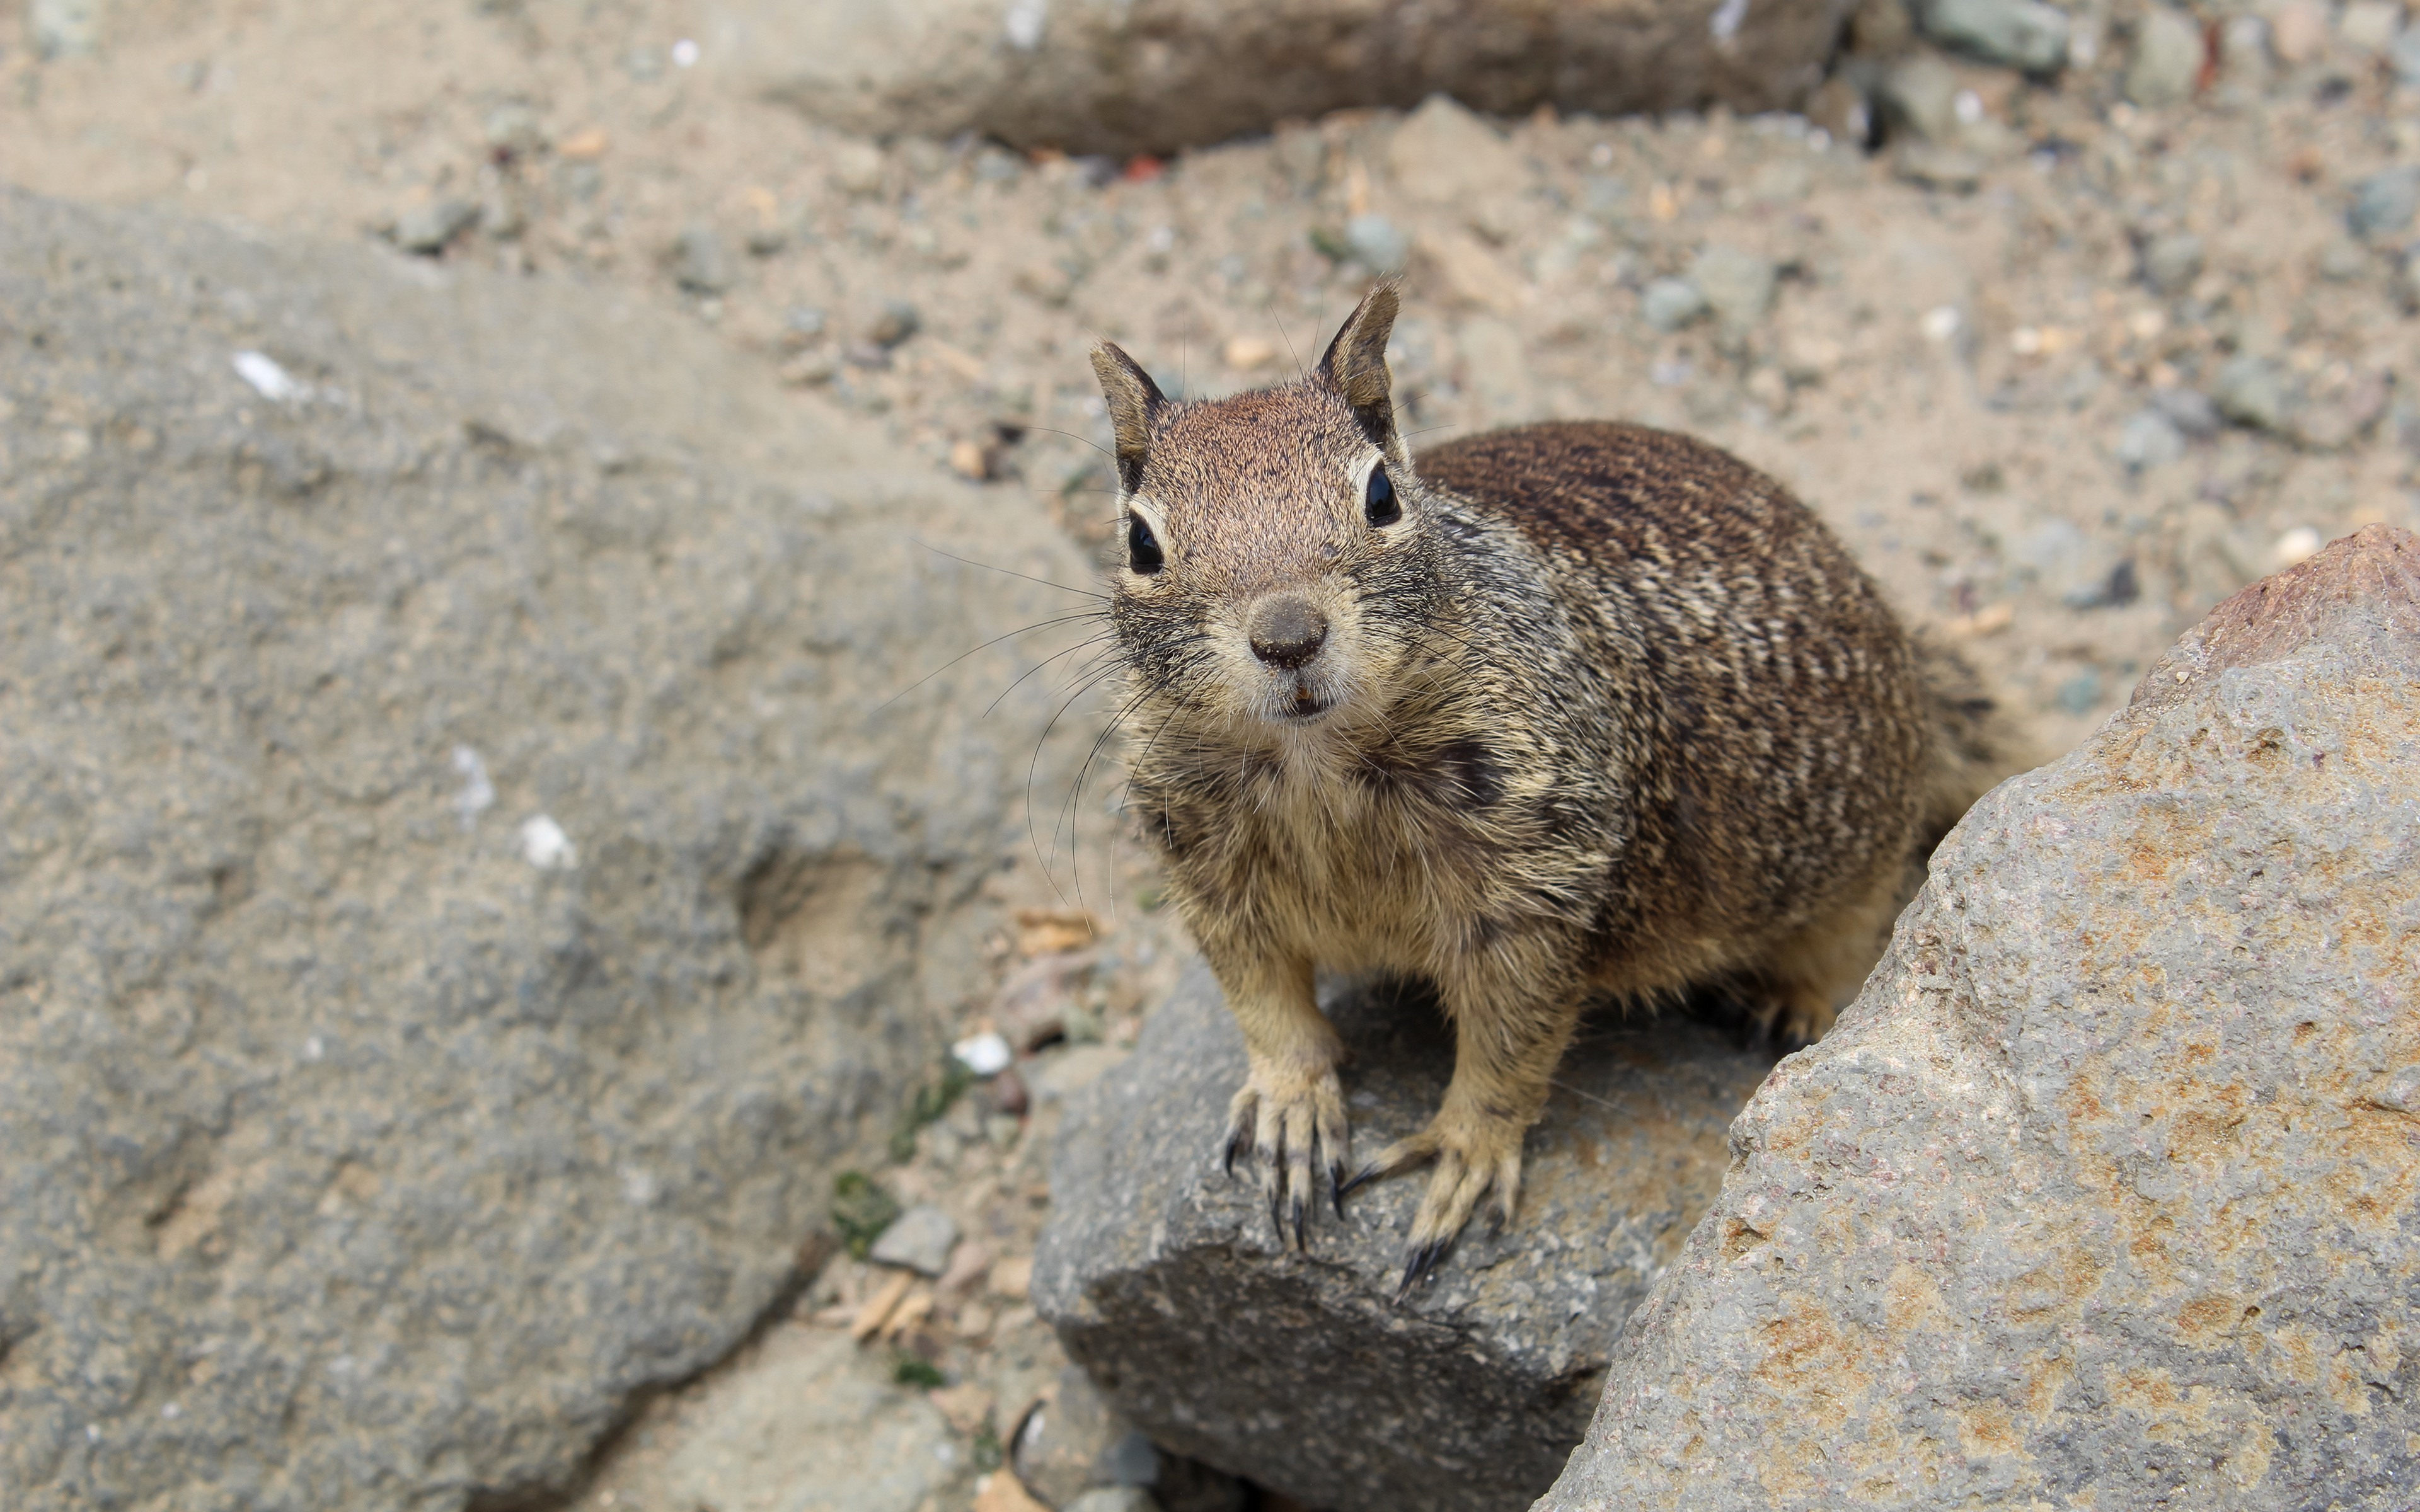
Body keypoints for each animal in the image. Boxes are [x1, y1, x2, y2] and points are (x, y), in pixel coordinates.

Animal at [1088, 281, 2017, 1292]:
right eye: (1141, 543)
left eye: (1381, 495)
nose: (1288, 637)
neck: (1317, 763)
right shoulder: (1202, 862)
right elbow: (1262, 999)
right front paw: (1292, 1105)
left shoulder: (1536, 883)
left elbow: (1512, 1041)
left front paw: (1461, 1152)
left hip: (1852, 852)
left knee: (1862, 924)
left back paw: (1793, 1003)